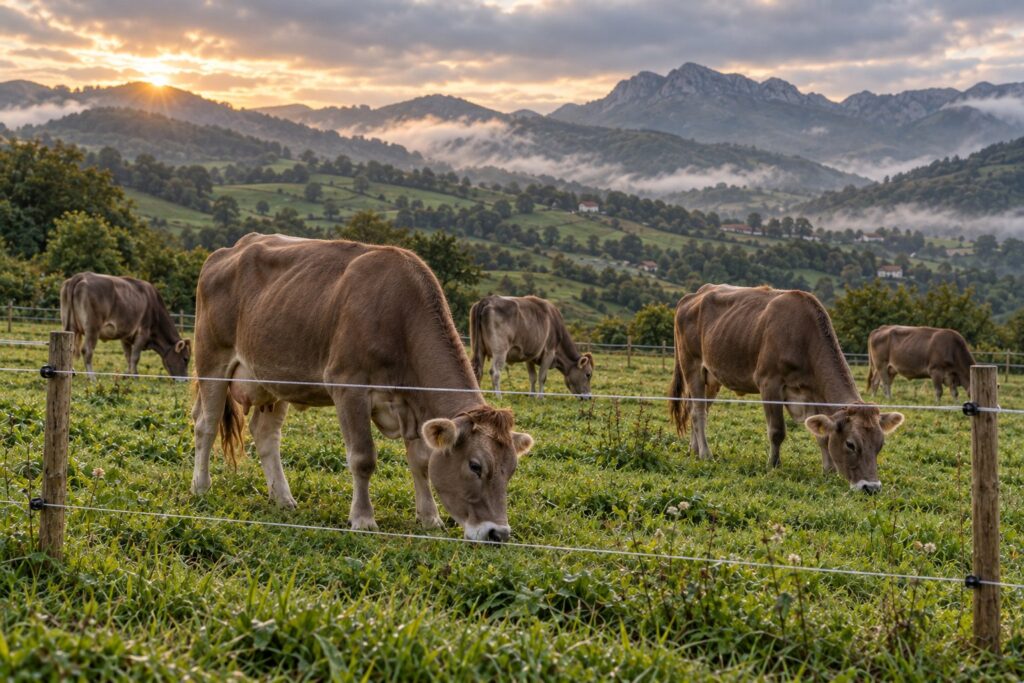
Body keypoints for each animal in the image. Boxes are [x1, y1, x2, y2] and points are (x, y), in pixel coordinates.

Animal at [60, 272, 191, 379]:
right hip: (92, 328)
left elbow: (128, 356)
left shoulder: (125, 336)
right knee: (87, 350)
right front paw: (135, 376)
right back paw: (92, 377)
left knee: (70, 349)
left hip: (70, 326)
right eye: (185, 358)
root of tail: (81, 276)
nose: (185, 379)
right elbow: (135, 357)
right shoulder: (143, 333)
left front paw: (127, 375)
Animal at [190, 234, 534, 542]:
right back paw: (201, 486)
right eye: (475, 466)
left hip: (274, 379)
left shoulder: (412, 405)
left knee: (265, 434)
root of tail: (227, 251)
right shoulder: (349, 386)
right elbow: (363, 457)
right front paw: (363, 519)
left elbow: (421, 462)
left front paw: (429, 517)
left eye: (511, 470)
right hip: (212, 359)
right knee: (206, 425)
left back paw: (282, 497)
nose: (498, 533)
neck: (400, 316)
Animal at [668, 284, 904, 493]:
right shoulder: (769, 382)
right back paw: (705, 453)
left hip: (712, 376)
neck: (803, 337)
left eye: (880, 444)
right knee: (698, 412)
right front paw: (773, 465)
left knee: (697, 409)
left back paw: (694, 448)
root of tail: (691, 296)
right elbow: (777, 431)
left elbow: (821, 435)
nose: (871, 487)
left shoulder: (810, 394)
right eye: (850, 444)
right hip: (691, 365)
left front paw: (828, 470)